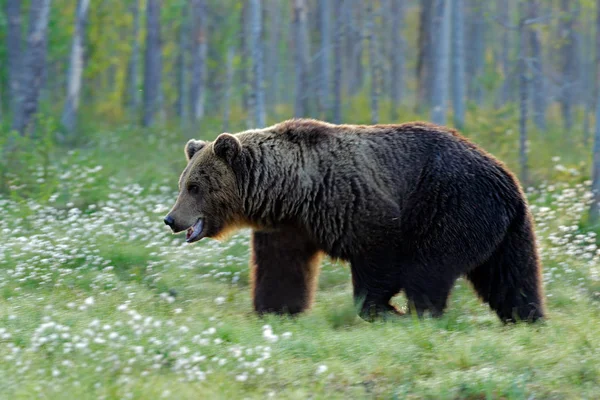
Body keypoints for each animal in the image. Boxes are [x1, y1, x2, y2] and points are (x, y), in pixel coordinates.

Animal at [163, 118, 544, 322]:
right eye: (184, 183)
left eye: (195, 186)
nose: (171, 218)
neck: (290, 191)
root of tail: (507, 177)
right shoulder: (288, 227)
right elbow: (280, 268)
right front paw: (276, 308)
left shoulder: (359, 205)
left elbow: (378, 263)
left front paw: (381, 308)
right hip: (502, 228)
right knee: (511, 275)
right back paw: (527, 316)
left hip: (451, 206)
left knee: (429, 268)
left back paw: (422, 312)